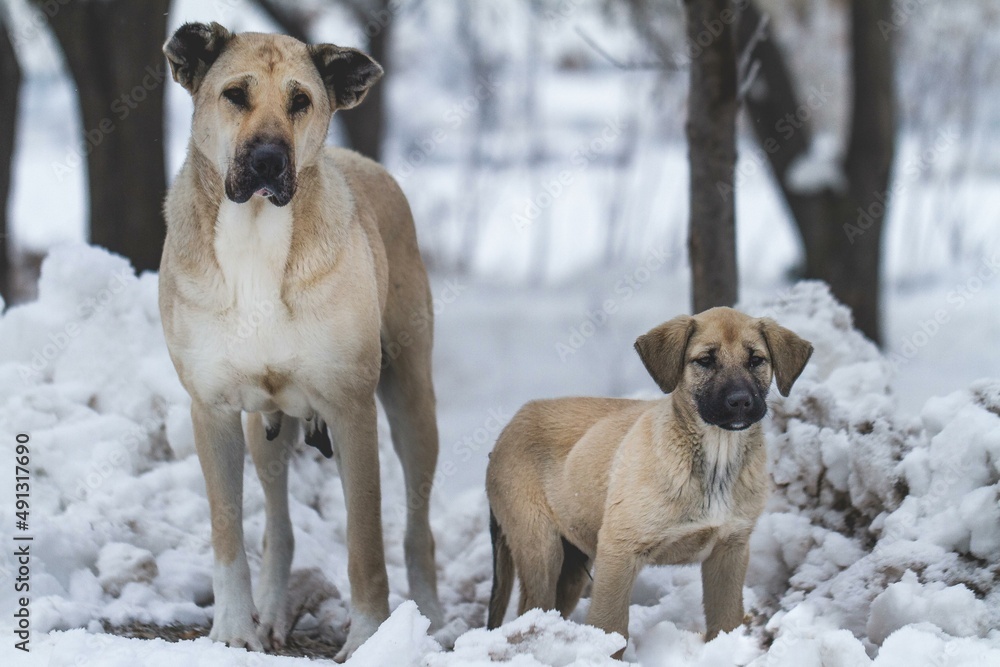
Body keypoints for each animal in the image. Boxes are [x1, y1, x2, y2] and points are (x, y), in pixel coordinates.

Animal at [159, 22, 442, 664]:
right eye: (235, 94)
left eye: (301, 101)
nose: (268, 158)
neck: (255, 237)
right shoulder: (211, 409)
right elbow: (228, 533)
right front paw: (232, 632)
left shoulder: (352, 408)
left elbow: (366, 541)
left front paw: (369, 638)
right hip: (265, 428)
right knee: (279, 522)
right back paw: (269, 614)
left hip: (413, 405)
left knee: (416, 527)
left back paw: (431, 618)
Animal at [486, 308, 812, 656]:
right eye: (705, 360)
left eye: (756, 360)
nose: (740, 402)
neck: (715, 459)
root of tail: (509, 427)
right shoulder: (619, 550)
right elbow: (611, 627)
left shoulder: (730, 549)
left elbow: (726, 622)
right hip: (541, 549)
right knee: (526, 617)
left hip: (571, 566)